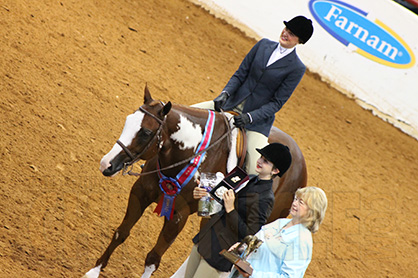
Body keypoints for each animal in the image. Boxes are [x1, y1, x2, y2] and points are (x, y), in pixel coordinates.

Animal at [83, 86, 308, 276]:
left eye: (146, 132)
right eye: (128, 120)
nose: (106, 164)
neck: (191, 153)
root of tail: (300, 162)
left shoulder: (179, 215)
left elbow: (153, 258)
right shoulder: (140, 192)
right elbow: (121, 233)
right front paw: (93, 272)